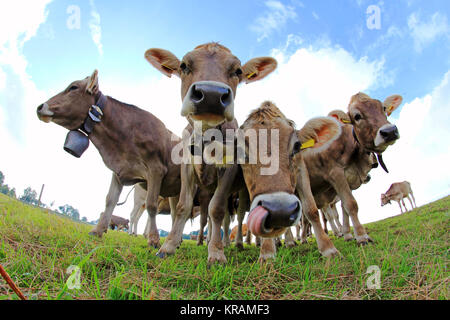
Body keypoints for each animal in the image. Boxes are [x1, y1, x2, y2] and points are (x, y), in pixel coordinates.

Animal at [36, 71, 181, 249]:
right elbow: (110, 200)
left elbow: (152, 205)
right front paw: (98, 230)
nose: (40, 107)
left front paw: (153, 239)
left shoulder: (156, 170)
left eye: (73, 87)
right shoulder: (118, 171)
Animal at [145, 42, 278, 264]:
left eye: (238, 71)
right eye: (184, 65)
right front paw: (169, 246)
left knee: (238, 215)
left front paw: (216, 252)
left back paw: (241, 244)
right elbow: (183, 206)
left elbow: (216, 209)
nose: (211, 95)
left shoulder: (229, 168)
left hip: (242, 191)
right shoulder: (186, 166)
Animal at [298, 92, 402, 245]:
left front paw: (348, 234)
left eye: (383, 108)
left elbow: (344, 208)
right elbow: (351, 204)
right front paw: (362, 236)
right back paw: (301, 239)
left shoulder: (348, 179)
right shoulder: (335, 174)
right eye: (357, 116)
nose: (389, 131)